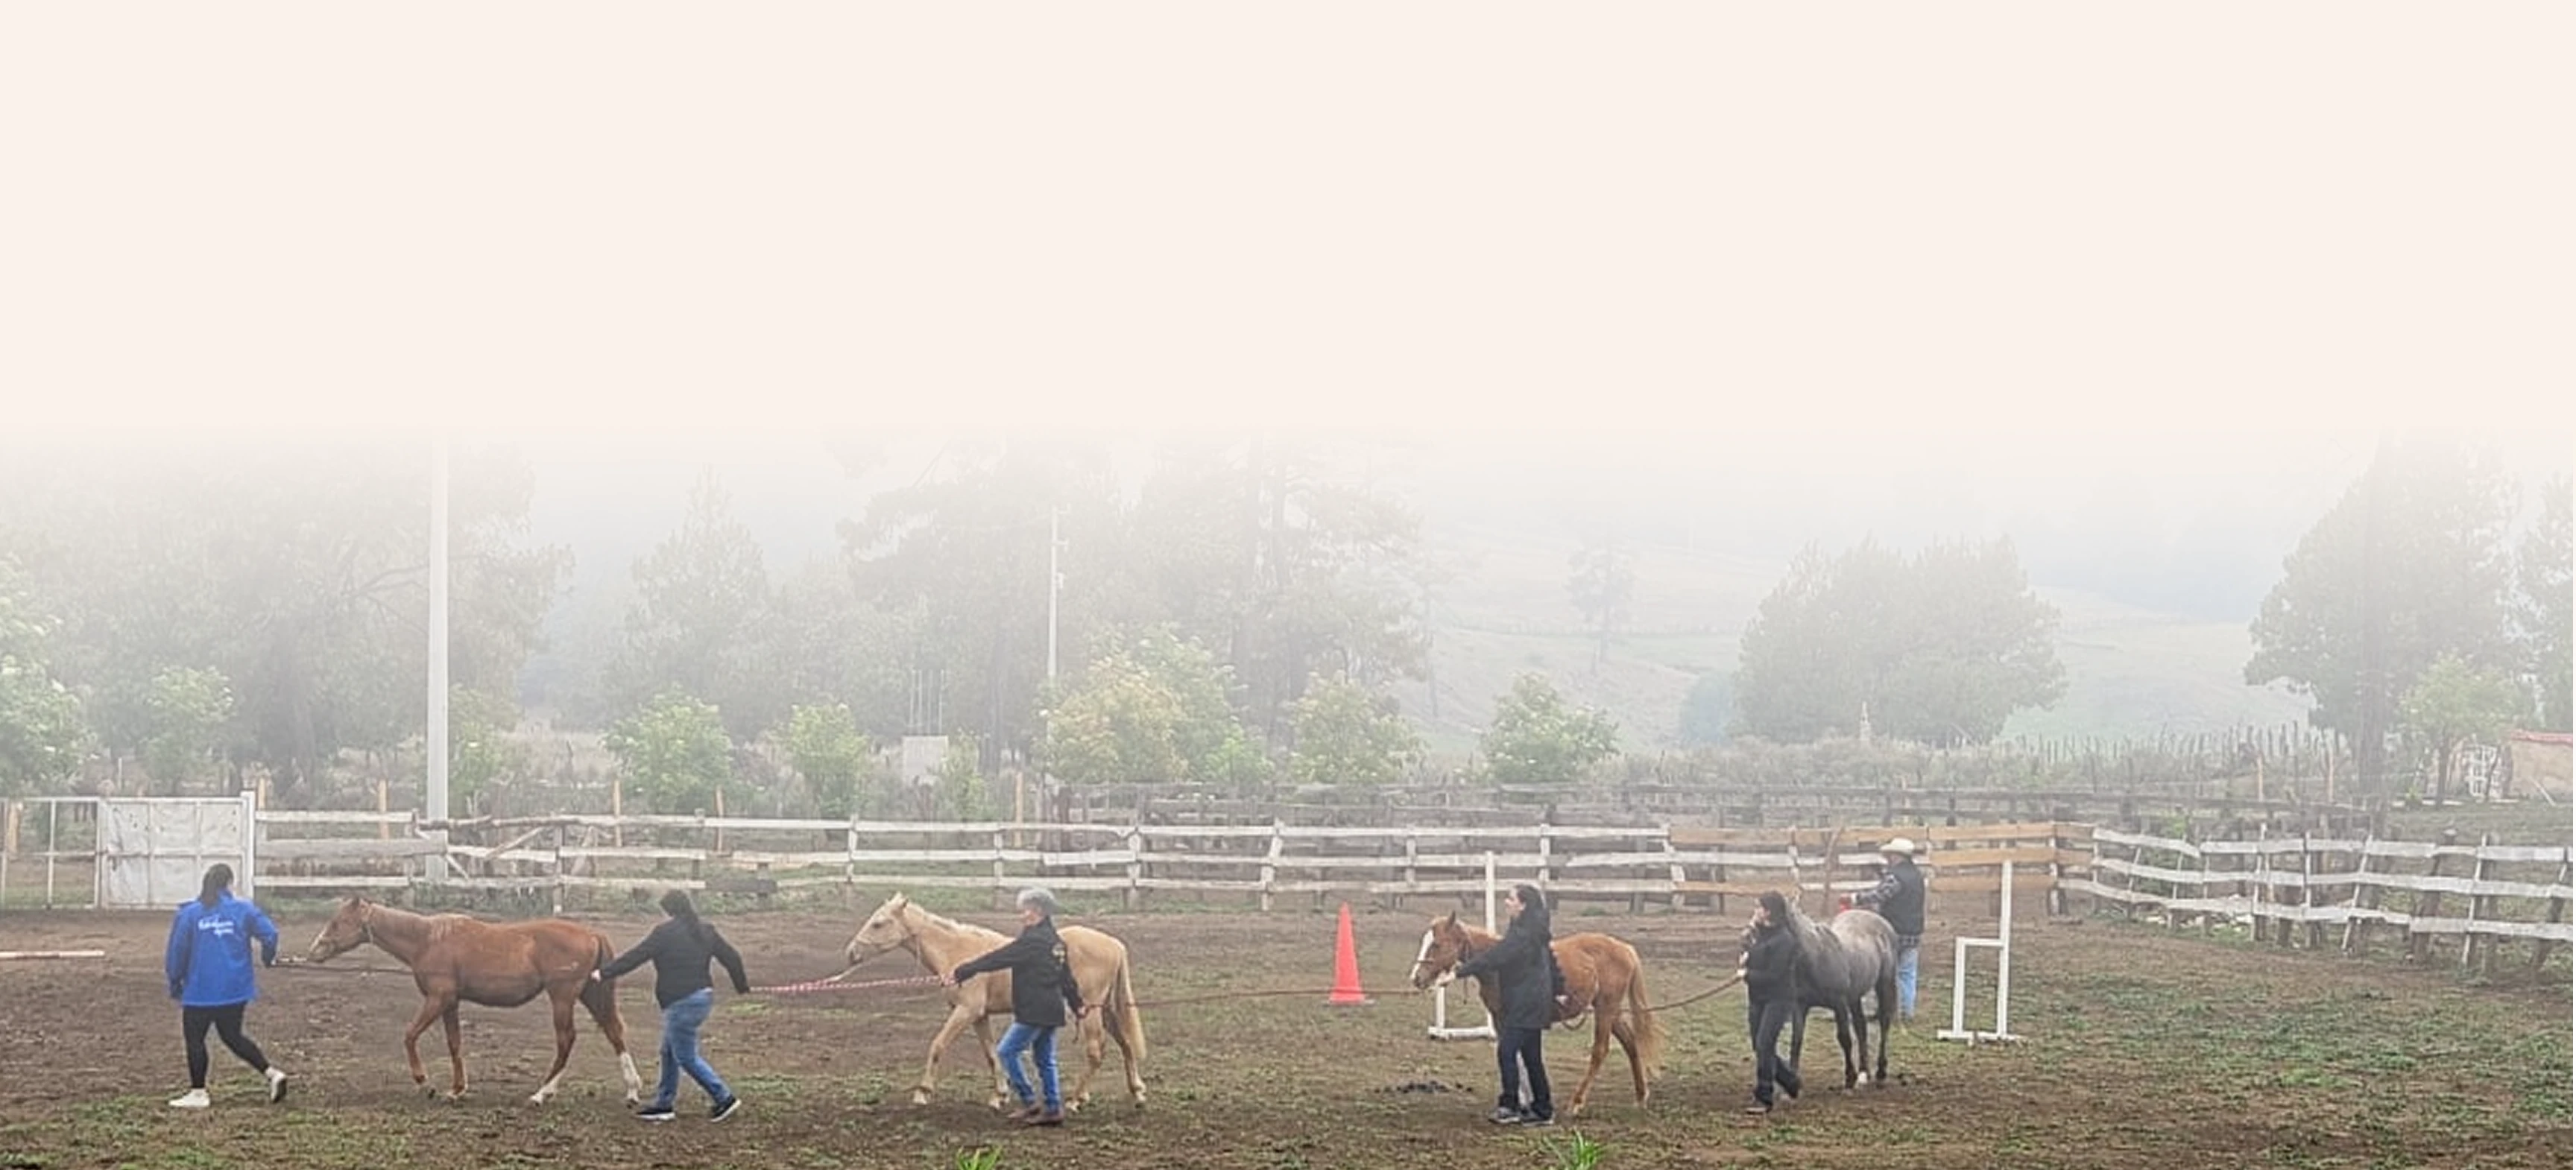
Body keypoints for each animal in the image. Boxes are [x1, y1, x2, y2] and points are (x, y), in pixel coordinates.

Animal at [306, 897, 644, 1108]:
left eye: (338, 922)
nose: (314, 952)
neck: (428, 939)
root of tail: (592, 933)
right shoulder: (450, 1003)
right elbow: (454, 1044)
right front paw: (457, 1090)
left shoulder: (437, 999)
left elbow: (410, 1035)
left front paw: (425, 1083)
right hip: (590, 994)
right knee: (614, 1032)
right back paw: (631, 1091)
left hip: (562, 998)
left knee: (566, 1040)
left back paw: (541, 1094)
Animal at [845, 891, 1149, 1108]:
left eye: (878, 923)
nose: (851, 953)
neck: (958, 952)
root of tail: (1115, 944)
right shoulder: (979, 1016)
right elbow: (991, 1055)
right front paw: (999, 1096)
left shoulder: (966, 1011)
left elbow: (938, 1045)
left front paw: (923, 1092)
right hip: (1106, 1010)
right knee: (1126, 1045)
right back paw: (1136, 1092)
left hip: (1090, 1012)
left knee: (1096, 1052)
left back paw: (1075, 1100)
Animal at [1411, 912, 1669, 1113]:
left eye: (1436, 944)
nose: (1417, 978)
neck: (1502, 965)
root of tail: (1625, 949)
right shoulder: (1501, 1020)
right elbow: (1516, 1056)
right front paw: (1523, 1100)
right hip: (1610, 1011)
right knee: (1631, 1043)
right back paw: (1640, 1096)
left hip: (1606, 1010)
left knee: (1600, 1051)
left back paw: (1577, 1102)